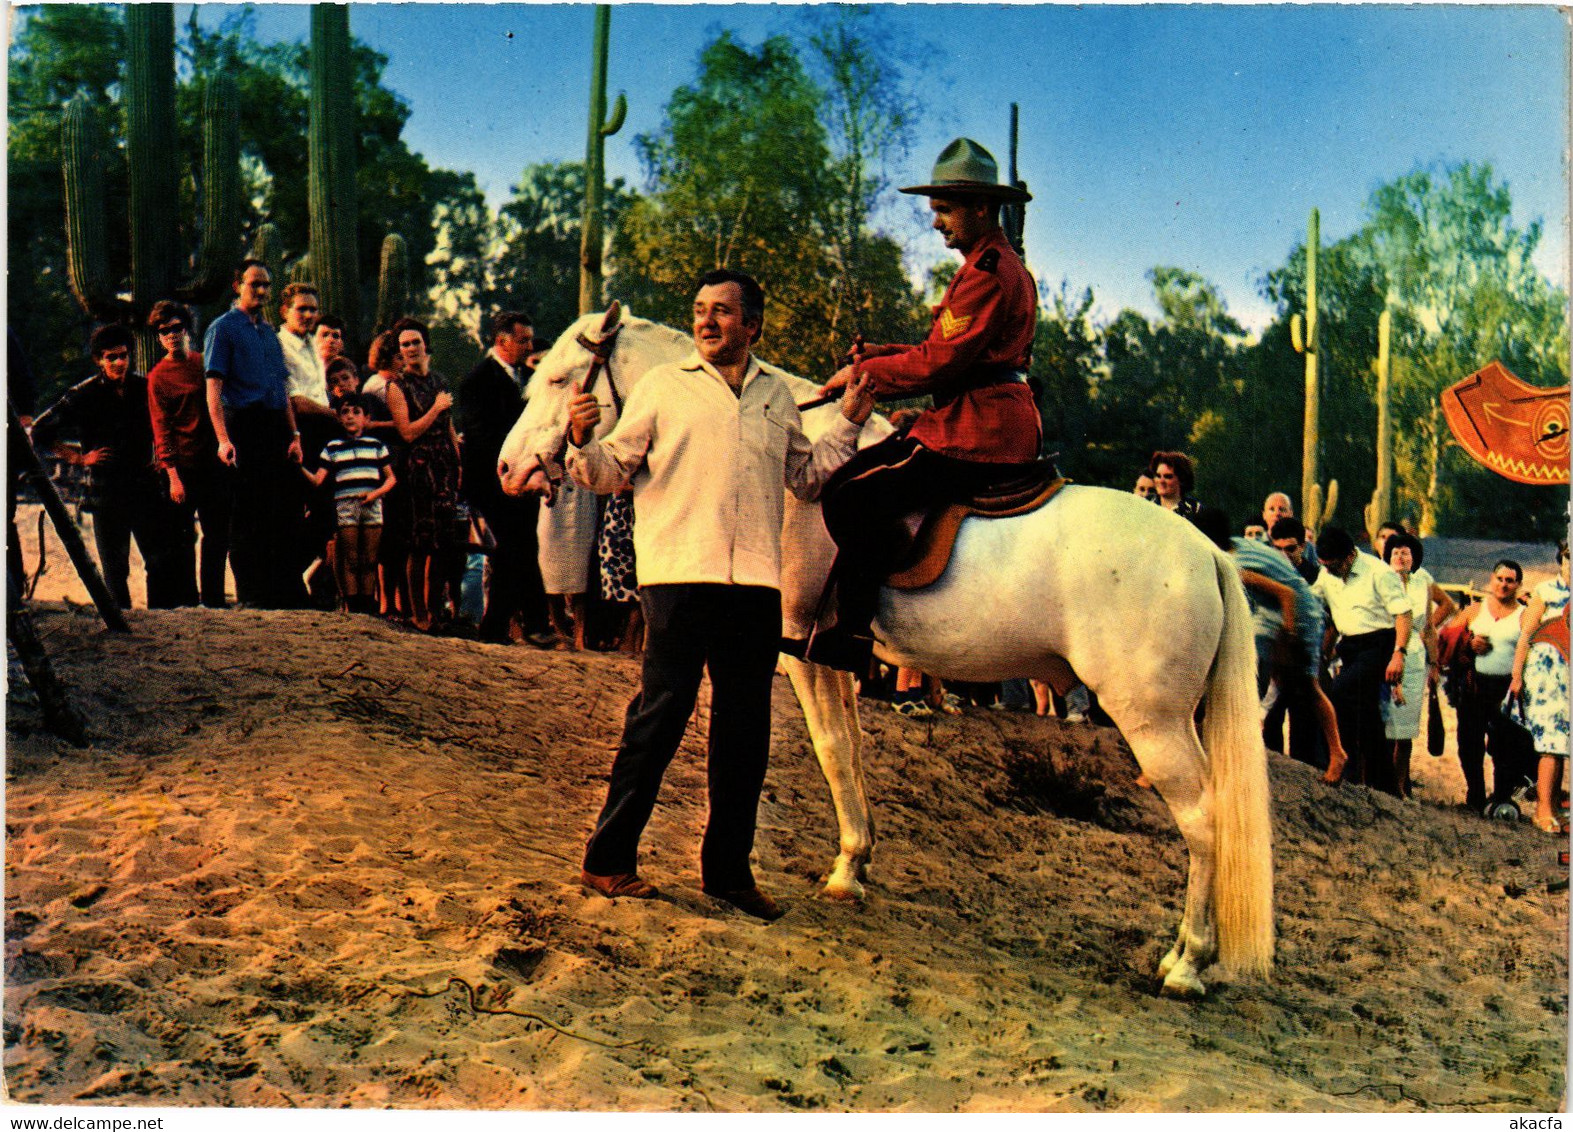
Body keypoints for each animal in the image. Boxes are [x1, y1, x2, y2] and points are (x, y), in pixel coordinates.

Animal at [497, 305, 1270, 993]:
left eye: (561, 379)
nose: (506, 470)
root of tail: (1207, 552)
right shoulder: (834, 657)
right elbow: (852, 753)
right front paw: (856, 862)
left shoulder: (797, 652)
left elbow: (832, 750)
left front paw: (841, 873)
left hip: (1153, 723)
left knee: (1205, 824)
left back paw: (1188, 964)